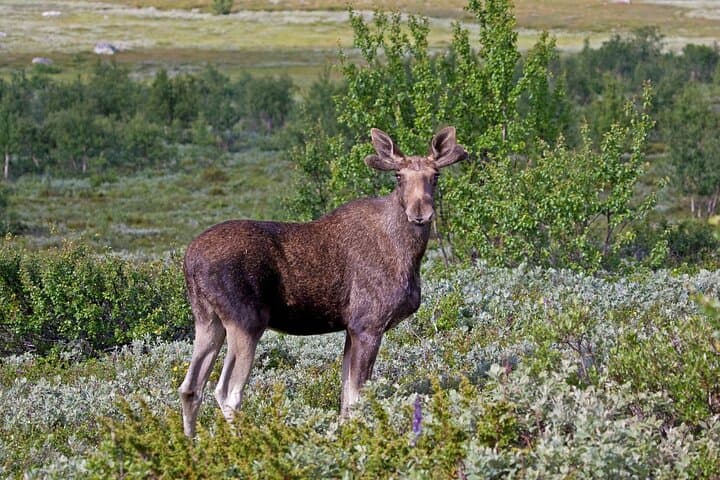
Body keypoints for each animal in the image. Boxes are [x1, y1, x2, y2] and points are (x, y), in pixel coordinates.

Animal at [179, 126, 468, 437]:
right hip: (245, 322)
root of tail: (190, 262)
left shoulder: (351, 328)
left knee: (190, 387)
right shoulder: (368, 324)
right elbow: (357, 395)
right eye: (398, 176)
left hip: (208, 321)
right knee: (227, 392)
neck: (410, 254)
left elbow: (346, 397)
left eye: (435, 175)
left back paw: (190, 442)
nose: (420, 213)